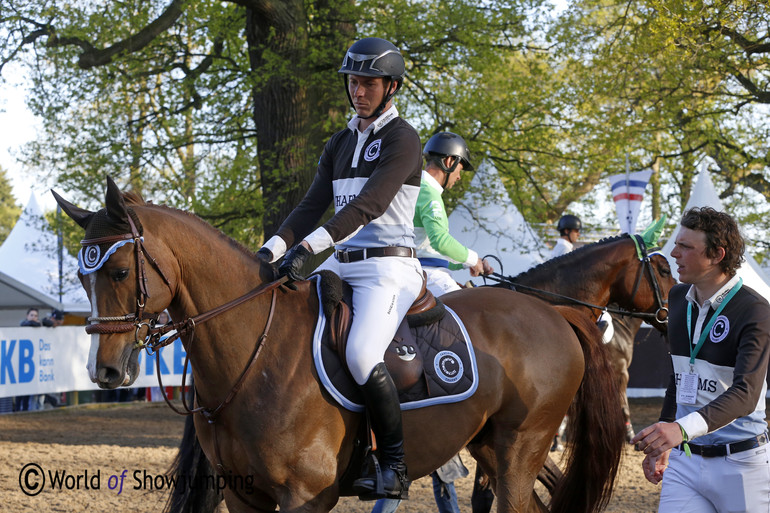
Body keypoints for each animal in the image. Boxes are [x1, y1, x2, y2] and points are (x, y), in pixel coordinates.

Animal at [52, 177, 632, 512]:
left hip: (519, 452)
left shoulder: (305, 499)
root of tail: (551, 312)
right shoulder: (245, 496)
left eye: (120, 271)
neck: (255, 354)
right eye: (81, 277)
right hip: (490, 448)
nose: (105, 372)